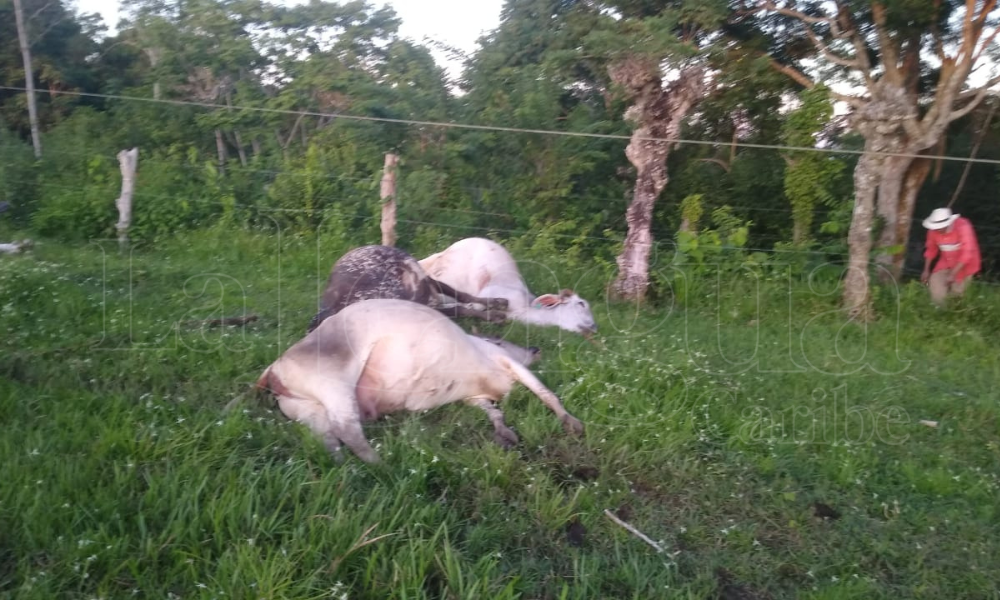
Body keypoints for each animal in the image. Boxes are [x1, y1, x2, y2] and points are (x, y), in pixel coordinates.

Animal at [256, 300, 584, 464]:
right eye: (501, 339)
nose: (536, 349)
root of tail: (272, 368)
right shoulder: (507, 363)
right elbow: (546, 393)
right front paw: (573, 424)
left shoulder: (473, 397)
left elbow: (494, 412)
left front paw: (506, 434)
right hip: (336, 385)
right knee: (347, 429)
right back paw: (383, 467)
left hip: (306, 408)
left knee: (328, 438)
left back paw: (345, 468)